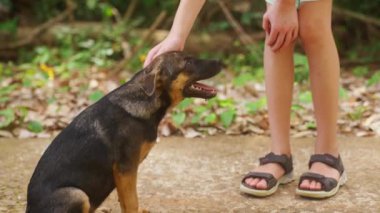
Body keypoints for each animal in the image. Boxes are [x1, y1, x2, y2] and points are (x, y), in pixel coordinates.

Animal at [26, 51, 223, 213]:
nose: (221, 62)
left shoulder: (123, 175)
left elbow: (125, 200)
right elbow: (131, 201)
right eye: (188, 62)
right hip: (76, 195)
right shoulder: (126, 168)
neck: (146, 99)